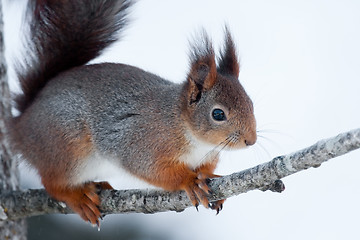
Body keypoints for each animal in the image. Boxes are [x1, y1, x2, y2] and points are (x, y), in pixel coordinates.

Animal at [7, 0, 256, 226]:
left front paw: (210, 177)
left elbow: (205, 170)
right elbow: (156, 171)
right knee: (53, 183)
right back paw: (78, 197)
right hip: (66, 148)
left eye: (251, 103)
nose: (251, 141)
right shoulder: (141, 143)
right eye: (218, 115)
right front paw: (190, 181)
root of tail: (21, 124)